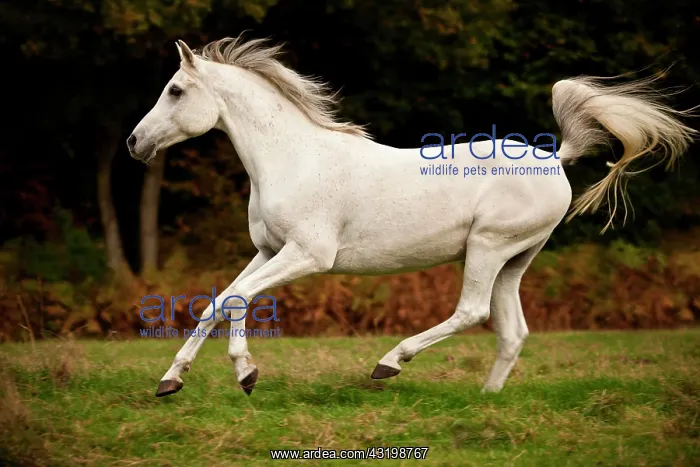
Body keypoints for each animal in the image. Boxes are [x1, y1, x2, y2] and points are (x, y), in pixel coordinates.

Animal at [127, 35, 696, 398]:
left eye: (175, 90)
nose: (135, 143)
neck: (294, 158)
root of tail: (556, 158)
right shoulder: (268, 250)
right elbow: (219, 301)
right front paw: (175, 380)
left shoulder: (308, 255)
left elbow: (238, 298)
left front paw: (243, 374)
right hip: (514, 260)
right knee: (512, 331)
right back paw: (486, 401)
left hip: (487, 247)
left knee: (473, 312)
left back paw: (390, 364)